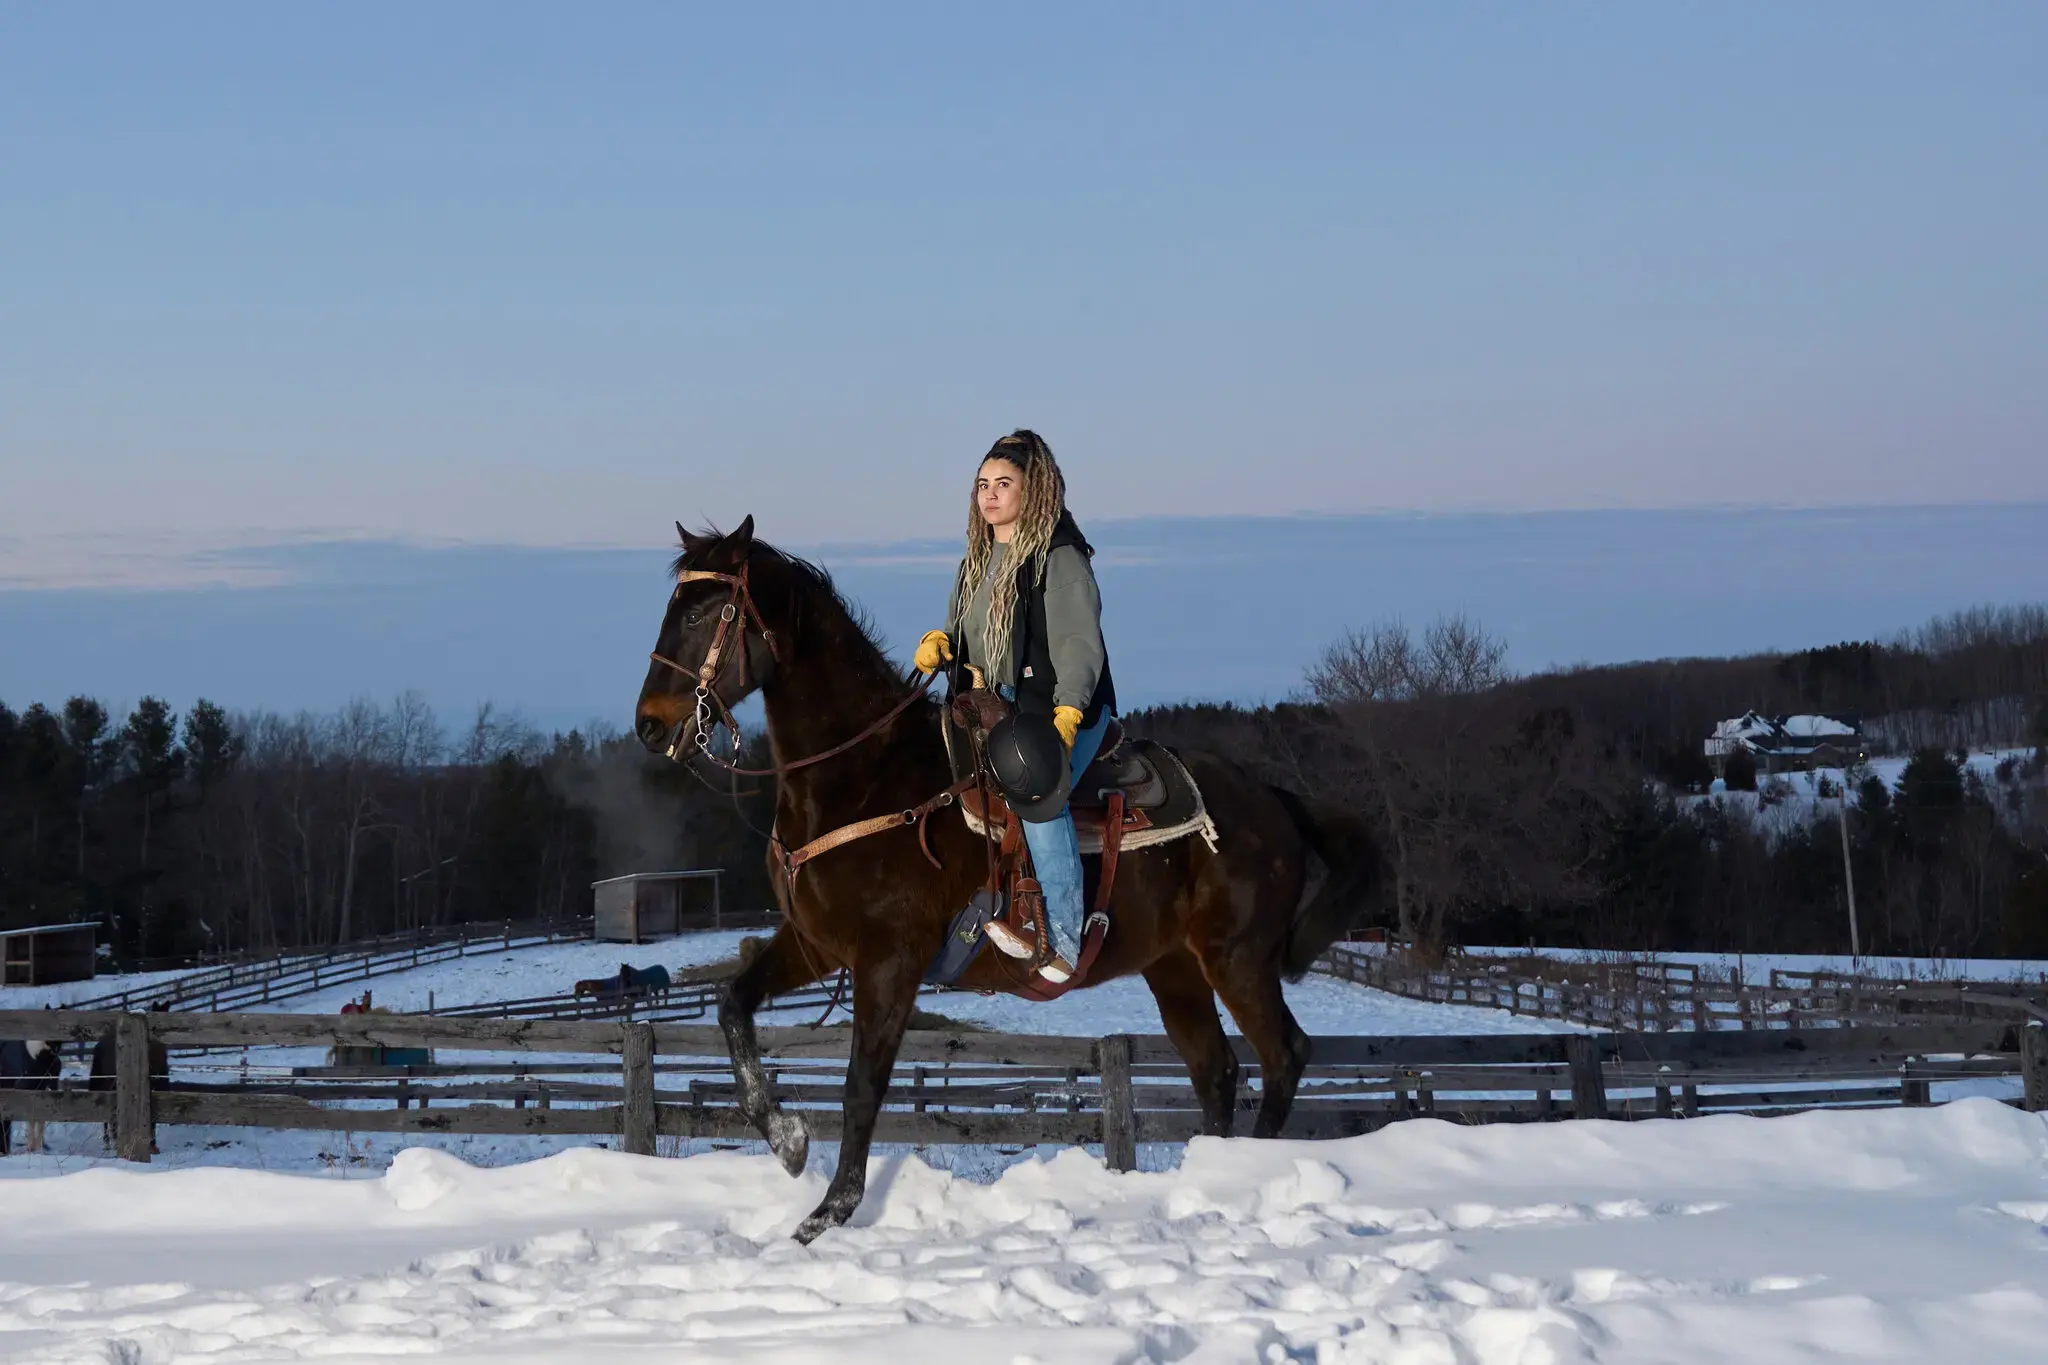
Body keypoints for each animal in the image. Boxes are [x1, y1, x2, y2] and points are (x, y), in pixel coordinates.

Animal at [630, 517, 1384, 1244]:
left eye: (705, 613)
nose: (650, 725)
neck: (865, 778)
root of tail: (1272, 797)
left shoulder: (890, 961)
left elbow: (862, 1086)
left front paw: (827, 1213)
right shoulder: (816, 944)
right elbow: (733, 1006)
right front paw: (786, 1139)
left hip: (1239, 959)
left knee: (1283, 1055)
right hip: (1173, 968)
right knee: (1217, 1069)